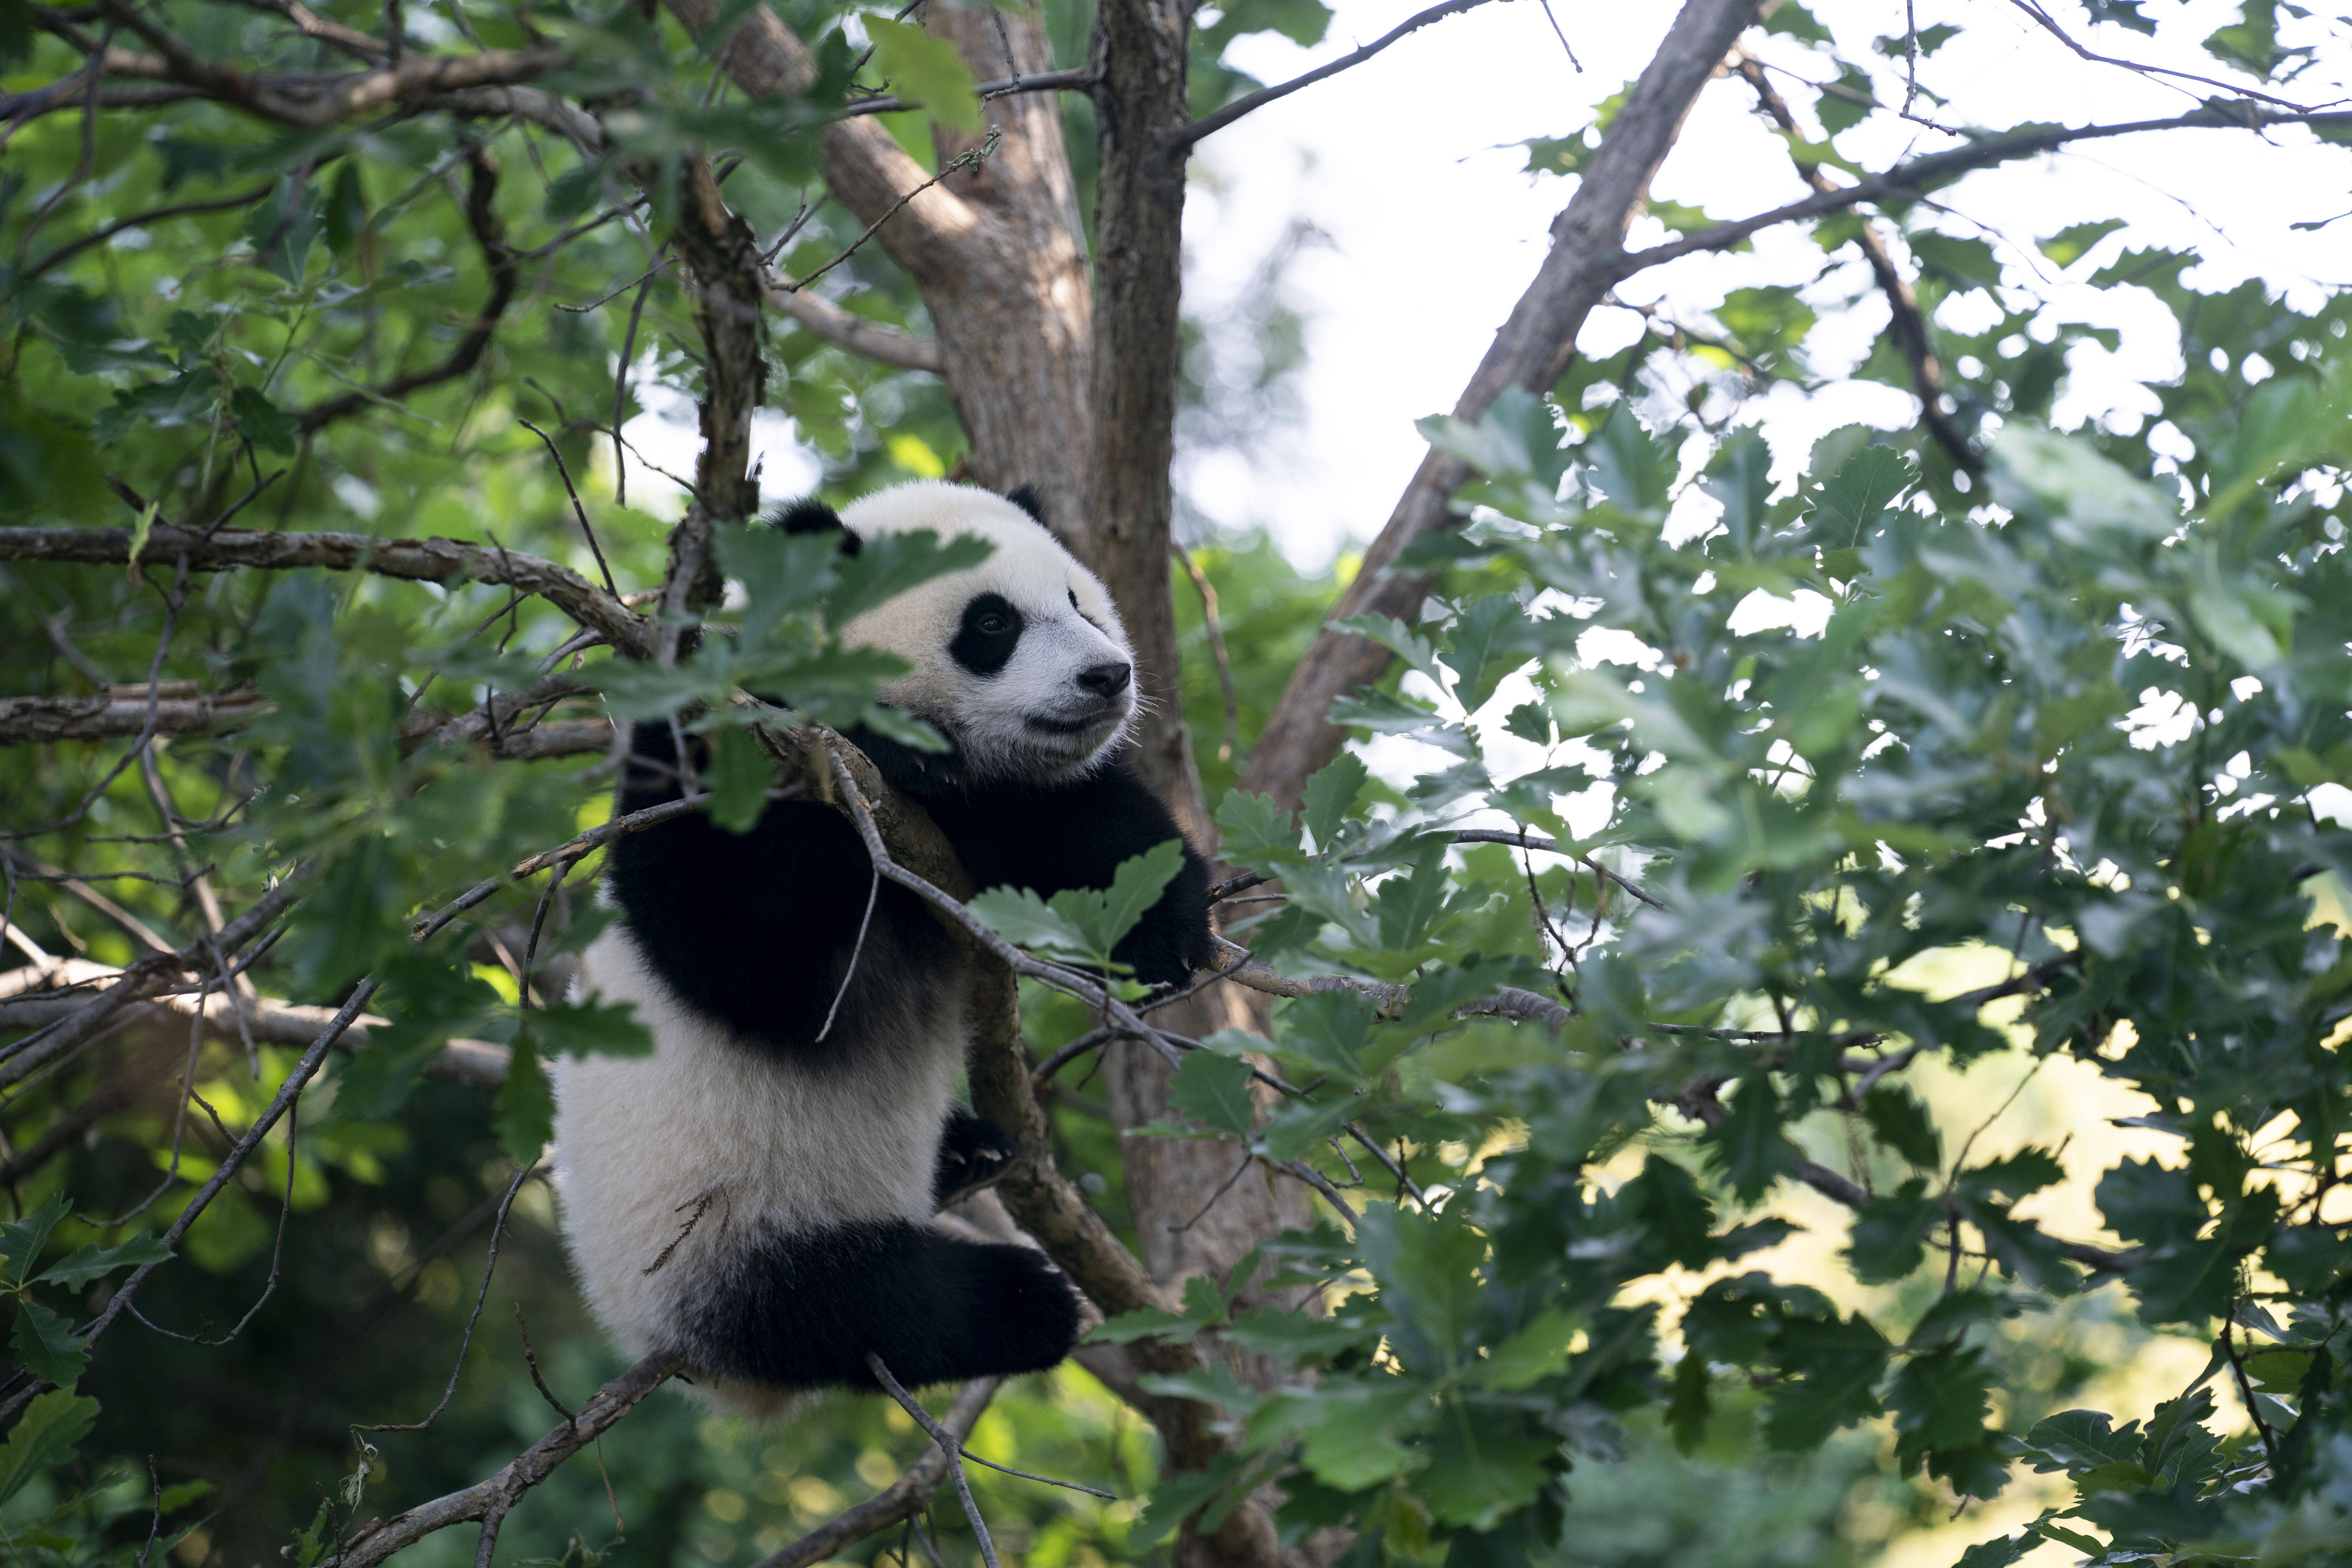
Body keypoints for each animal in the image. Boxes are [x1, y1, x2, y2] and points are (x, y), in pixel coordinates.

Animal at [550, 479, 1214, 1410]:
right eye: (992, 623)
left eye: (1080, 601)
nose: (1108, 675)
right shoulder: (733, 745)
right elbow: (741, 949)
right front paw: (899, 757)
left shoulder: (1022, 800)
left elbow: (1095, 827)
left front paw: (1164, 940)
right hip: (711, 1236)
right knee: (862, 1305)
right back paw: (1023, 1301)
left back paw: (969, 1150)